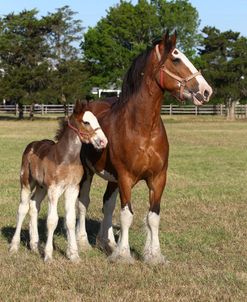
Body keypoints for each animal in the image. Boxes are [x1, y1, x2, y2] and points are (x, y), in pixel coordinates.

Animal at [9, 101, 108, 262]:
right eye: (86, 122)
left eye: (97, 120)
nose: (103, 141)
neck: (66, 158)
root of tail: (32, 145)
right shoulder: (54, 190)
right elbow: (52, 220)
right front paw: (48, 256)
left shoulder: (72, 189)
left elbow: (70, 220)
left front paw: (74, 255)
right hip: (26, 182)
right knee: (22, 208)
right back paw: (14, 246)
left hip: (42, 187)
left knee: (34, 205)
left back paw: (35, 245)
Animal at [76, 31, 212, 264]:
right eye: (176, 59)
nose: (206, 91)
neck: (142, 129)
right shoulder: (125, 177)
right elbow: (126, 215)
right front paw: (123, 255)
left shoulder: (158, 178)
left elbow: (153, 216)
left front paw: (153, 255)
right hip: (89, 172)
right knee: (84, 202)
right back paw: (84, 242)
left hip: (112, 179)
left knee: (107, 204)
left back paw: (107, 242)